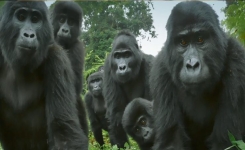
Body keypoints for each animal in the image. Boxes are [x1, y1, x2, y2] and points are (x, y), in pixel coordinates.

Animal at [150, 1, 245, 150]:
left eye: (200, 39)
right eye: (183, 42)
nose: (192, 65)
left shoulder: (238, 62)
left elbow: (226, 140)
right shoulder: (161, 70)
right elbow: (172, 141)